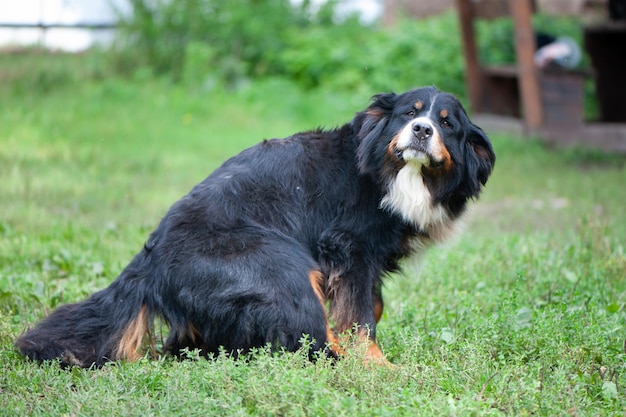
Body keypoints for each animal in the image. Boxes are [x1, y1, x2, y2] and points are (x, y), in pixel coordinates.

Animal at [13, 86, 492, 366]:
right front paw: (377, 366)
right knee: (304, 335)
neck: (395, 174)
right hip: (271, 264)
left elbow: (370, 304)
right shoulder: (348, 244)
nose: (422, 130)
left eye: (447, 123)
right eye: (409, 114)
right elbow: (359, 316)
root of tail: (150, 263)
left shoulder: (368, 257)